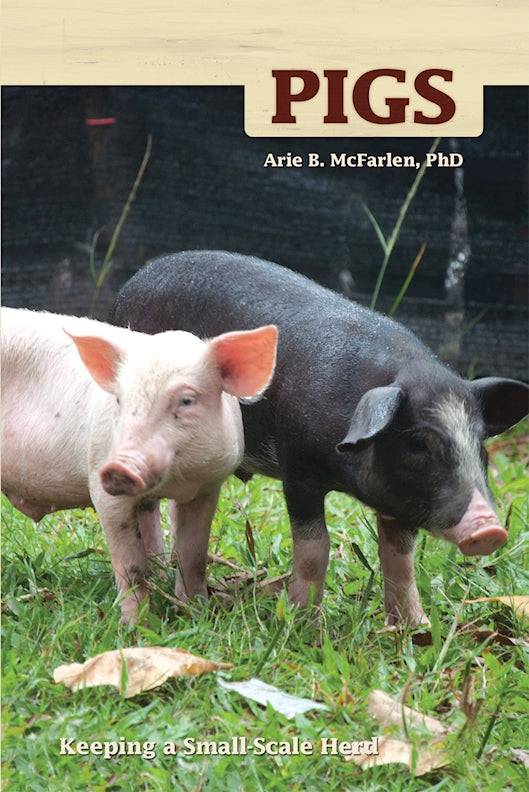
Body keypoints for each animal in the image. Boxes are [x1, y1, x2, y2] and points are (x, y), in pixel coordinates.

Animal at [1, 307, 277, 624]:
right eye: (120, 400)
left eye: (186, 400)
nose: (120, 467)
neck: (177, 480)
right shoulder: (102, 487)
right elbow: (130, 566)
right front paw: (135, 625)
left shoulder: (208, 487)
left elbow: (192, 554)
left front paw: (197, 612)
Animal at [111, 251, 529, 627]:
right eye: (418, 443)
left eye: (480, 446)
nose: (490, 530)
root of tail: (133, 282)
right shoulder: (298, 469)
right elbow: (315, 548)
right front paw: (302, 624)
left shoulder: (398, 500)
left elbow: (400, 558)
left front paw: (416, 628)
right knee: (147, 504)